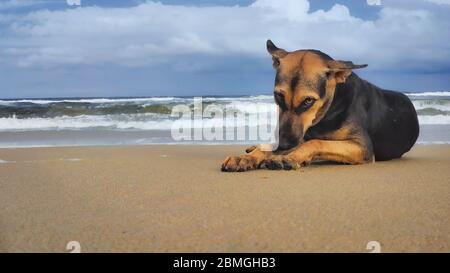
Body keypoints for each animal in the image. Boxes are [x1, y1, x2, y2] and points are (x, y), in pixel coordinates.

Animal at [221, 39, 418, 171]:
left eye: (308, 101)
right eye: (278, 95)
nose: (283, 144)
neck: (329, 111)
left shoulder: (362, 147)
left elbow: (315, 143)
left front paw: (290, 157)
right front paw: (246, 157)